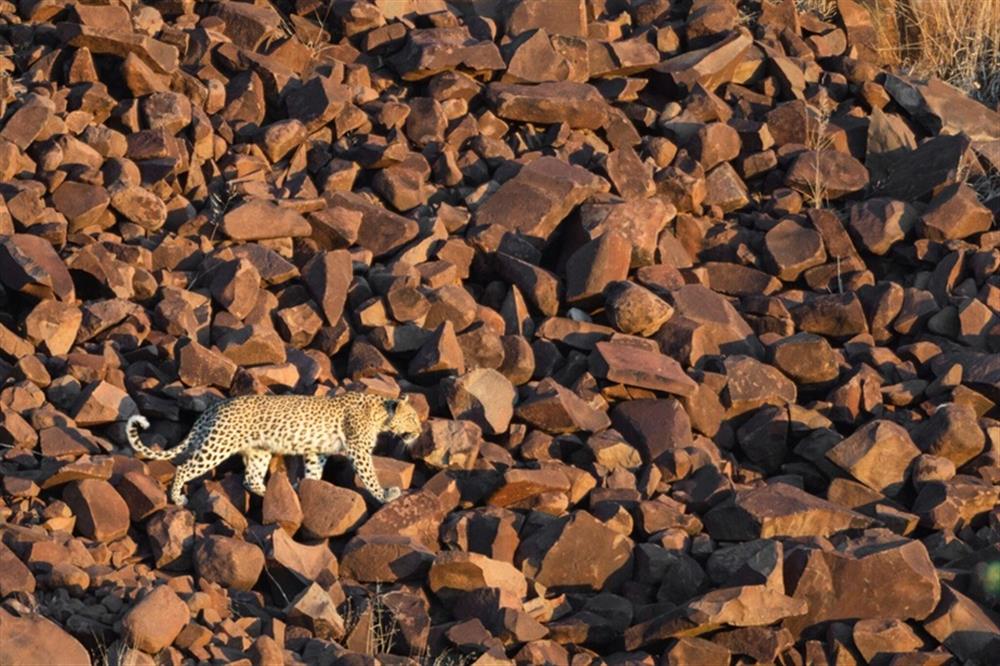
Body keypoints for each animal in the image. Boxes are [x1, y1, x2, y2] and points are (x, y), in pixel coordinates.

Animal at [126, 390, 422, 504]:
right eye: (413, 419)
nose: (419, 432)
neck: (380, 414)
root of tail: (217, 405)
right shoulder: (358, 450)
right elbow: (370, 476)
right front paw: (385, 495)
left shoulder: (316, 451)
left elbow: (314, 471)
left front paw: (308, 488)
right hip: (218, 445)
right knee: (185, 468)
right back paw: (177, 498)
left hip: (259, 452)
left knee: (250, 479)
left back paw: (274, 492)